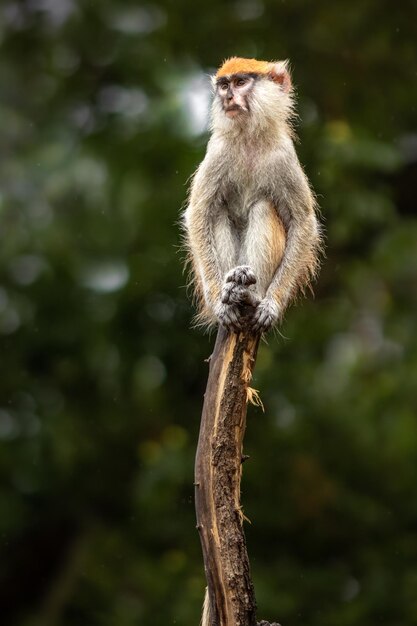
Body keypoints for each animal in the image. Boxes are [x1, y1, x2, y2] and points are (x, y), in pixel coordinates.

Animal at [182, 56, 322, 334]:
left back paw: (250, 293)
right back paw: (231, 285)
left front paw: (271, 305)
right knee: (217, 212)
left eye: (240, 82)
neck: (249, 137)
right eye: (224, 85)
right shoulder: (218, 152)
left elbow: (303, 223)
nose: (228, 98)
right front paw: (220, 304)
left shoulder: (284, 156)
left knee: (263, 207)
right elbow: (199, 215)